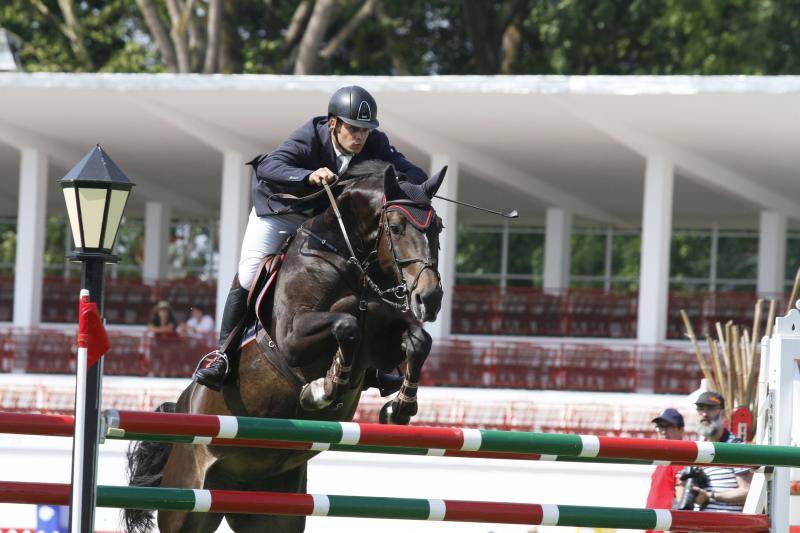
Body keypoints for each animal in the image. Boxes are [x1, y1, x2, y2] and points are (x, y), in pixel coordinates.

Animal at [128, 160, 446, 528]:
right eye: (395, 227)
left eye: (438, 228)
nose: (429, 298)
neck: (347, 257)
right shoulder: (294, 338)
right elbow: (347, 323)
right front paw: (325, 387)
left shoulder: (382, 342)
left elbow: (418, 341)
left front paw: (400, 407)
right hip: (186, 506)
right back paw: (218, 367)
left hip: (275, 512)